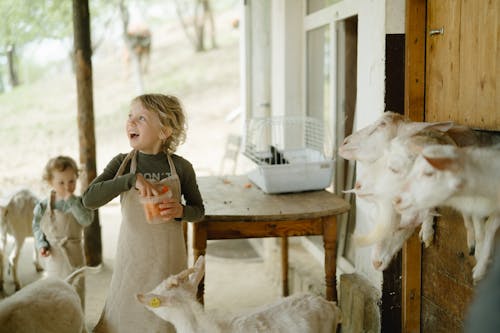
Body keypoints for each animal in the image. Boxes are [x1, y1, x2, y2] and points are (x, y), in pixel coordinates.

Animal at [394, 145, 500, 280]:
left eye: (429, 173)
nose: (396, 199)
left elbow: (489, 229)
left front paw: (481, 265)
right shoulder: (475, 207)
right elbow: (480, 231)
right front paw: (480, 257)